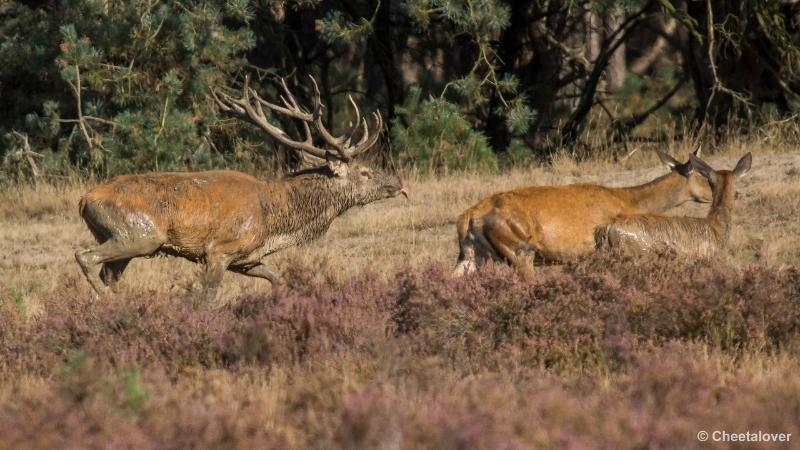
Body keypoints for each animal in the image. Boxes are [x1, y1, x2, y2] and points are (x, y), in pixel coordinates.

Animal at [75, 74, 406, 298]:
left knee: (107, 272)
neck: (275, 223)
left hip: (123, 241)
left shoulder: (248, 258)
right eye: (364, 172)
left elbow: (278, 278)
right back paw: (109, 302)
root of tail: (84, 200)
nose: (399, 185)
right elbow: (206, 297)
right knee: (85, 256)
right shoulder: (220, 249)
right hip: (139, 234)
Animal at [450, 148, 712, 276]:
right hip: (518, 248)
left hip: (471, 254)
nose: (712, 194)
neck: (630, 202)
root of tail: (469, 217)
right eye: (704, 173)